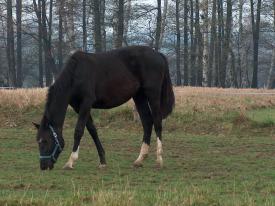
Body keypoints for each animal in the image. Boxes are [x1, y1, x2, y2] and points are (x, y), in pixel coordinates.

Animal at [34, 46, 175, 171]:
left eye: (45, 141)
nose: (43, 166)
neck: (76, 73)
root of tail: (158, 54)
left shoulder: (86, 103)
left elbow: (79, 130)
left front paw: (70, 161)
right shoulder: (78, 107)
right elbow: (92, 130)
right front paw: (102, 161)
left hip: (153, 94)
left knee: (157, 122)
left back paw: (159, 160)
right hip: (139, 96)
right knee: (147, 122)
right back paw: (139, 160)